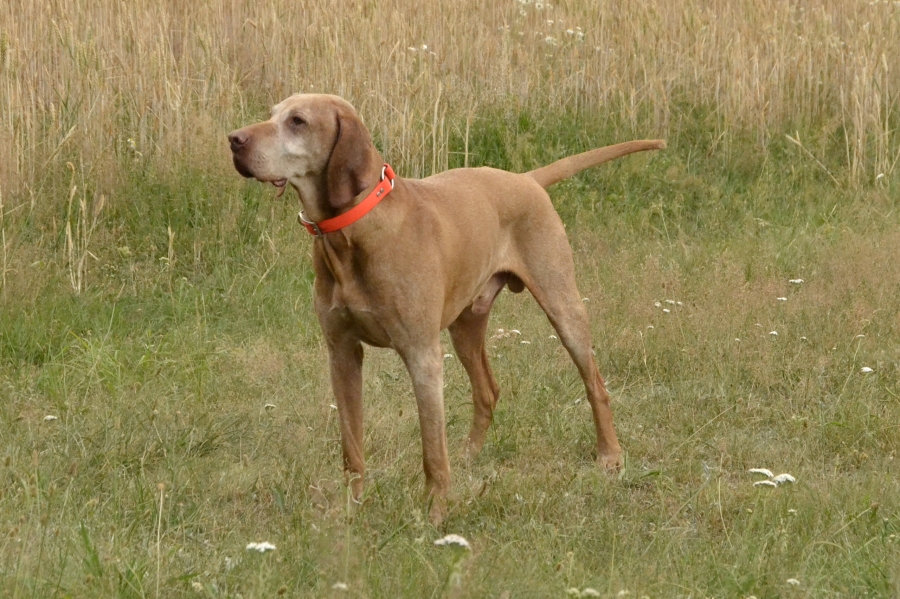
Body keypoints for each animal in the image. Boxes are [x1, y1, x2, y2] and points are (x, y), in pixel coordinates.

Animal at [229, 94, 664, 523]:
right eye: (272, 114)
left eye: (298, 121)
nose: (233, 140)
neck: (353, 233)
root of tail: (526, 179)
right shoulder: (342, 353)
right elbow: (352, 447)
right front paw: (351, 513)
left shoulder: (422, 355)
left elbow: (432, 454)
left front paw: (435, 514)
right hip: (466, 325)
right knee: (487, 391)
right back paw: (470, 455)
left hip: (563, 305)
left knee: (595, 385)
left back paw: (610, 456)